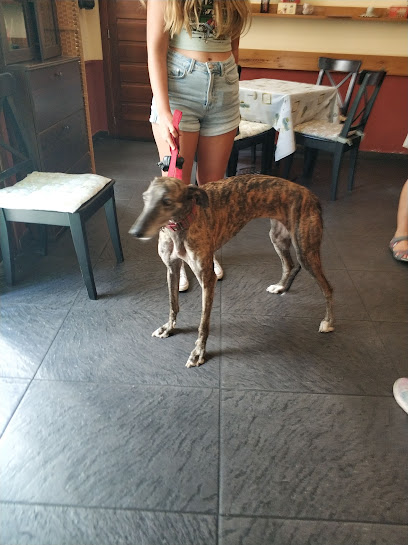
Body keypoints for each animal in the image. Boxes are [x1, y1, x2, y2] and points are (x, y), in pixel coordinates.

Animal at [129, 174, 334, 368]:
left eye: (167, 201)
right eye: (145, 198)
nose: (135, 232)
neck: (181, 224)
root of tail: (310, 195)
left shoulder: (207, 279)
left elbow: (203, 323)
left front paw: (198, 353)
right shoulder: (172, 268)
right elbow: (173, 304)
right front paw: (168, 328)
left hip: (306, 251)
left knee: (327, 288)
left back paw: (328, 322)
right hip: (278, 237)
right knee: (290, 265)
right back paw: (281, 287)